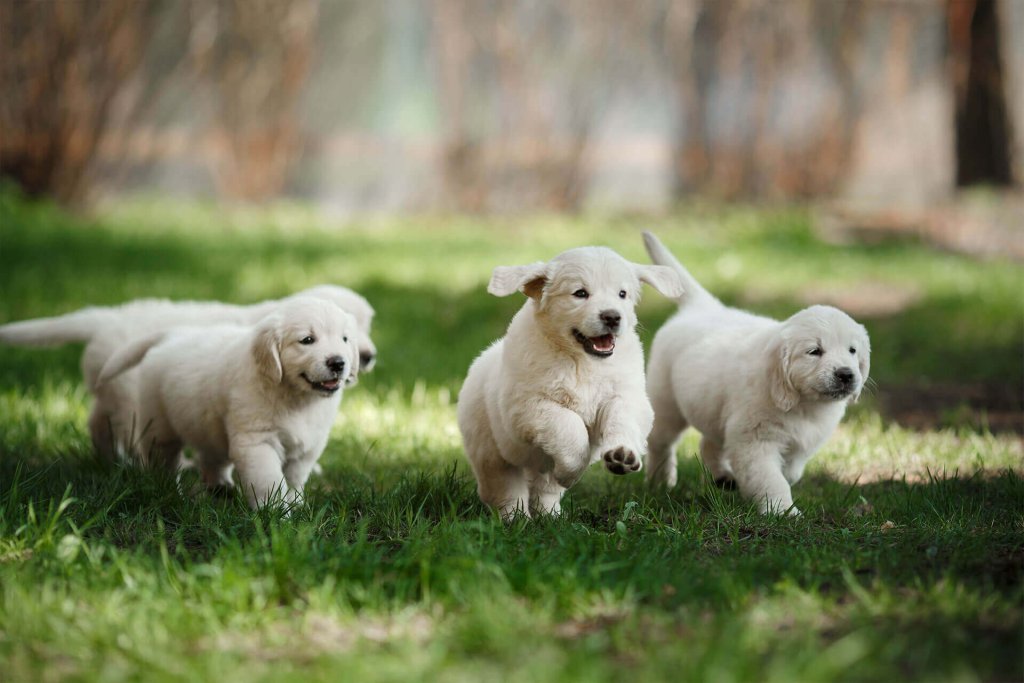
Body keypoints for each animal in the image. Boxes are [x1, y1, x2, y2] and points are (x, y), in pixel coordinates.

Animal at [96, 296, 360, 509]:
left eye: (345, 339)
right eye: (307, 340)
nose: (338, 363)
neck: (295, 397)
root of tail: (173, 335)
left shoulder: (308, 446)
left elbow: (295, 478)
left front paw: (296, 504)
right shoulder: (257, 442)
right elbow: (269, 480)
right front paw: (275, 513)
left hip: (210, 426)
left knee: (212, 459)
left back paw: (221, 488)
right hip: (159, 425)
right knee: (163, 460)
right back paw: (169, 489)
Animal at [458, 245, 684, 518]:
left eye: (622, 294)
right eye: (580, 293)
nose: (612, 317)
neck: (581, 361)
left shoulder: (625, 395)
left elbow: (622, 419)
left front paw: (622, 455)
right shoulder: (527, 406)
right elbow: (569, 426)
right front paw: (572, 472)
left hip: (538, 468)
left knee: (545, 489)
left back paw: (550, 516)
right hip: (491, 451)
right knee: (505, 488)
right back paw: (516, 518)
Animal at [638, 232, 872, 516]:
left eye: (852, 350)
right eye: (814, 351)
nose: (846, 374)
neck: (803, 404)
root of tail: (702, 307)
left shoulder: (799, 444)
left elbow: (790, 471)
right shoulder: (755, 441)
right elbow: (771, 478)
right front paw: (782, 512)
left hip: (713, 408)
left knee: (709, 443)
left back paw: (722, 477)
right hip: (666, 403)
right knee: (660, 443)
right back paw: (660, 481)